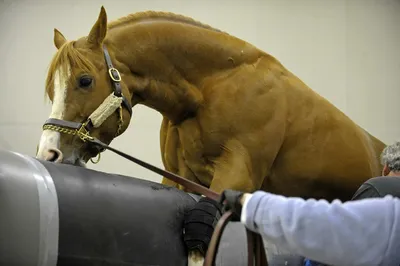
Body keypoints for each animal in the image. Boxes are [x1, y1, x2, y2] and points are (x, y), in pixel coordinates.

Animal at [36, 6, 386, 266]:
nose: (49, 154)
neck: (212, 87)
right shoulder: (178, 177)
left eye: (84, 80)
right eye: (51, 88)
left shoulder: (238, 175)